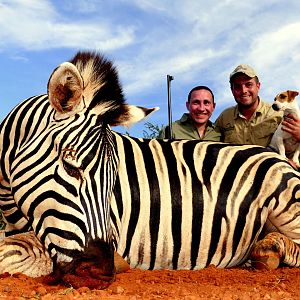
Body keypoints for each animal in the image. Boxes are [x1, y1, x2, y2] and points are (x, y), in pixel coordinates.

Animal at [0, 50, 298, 290]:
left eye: (114, 181)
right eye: (71, 167)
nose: (101, 274)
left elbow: (9, 253)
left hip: (286, 201)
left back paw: (268, 251)